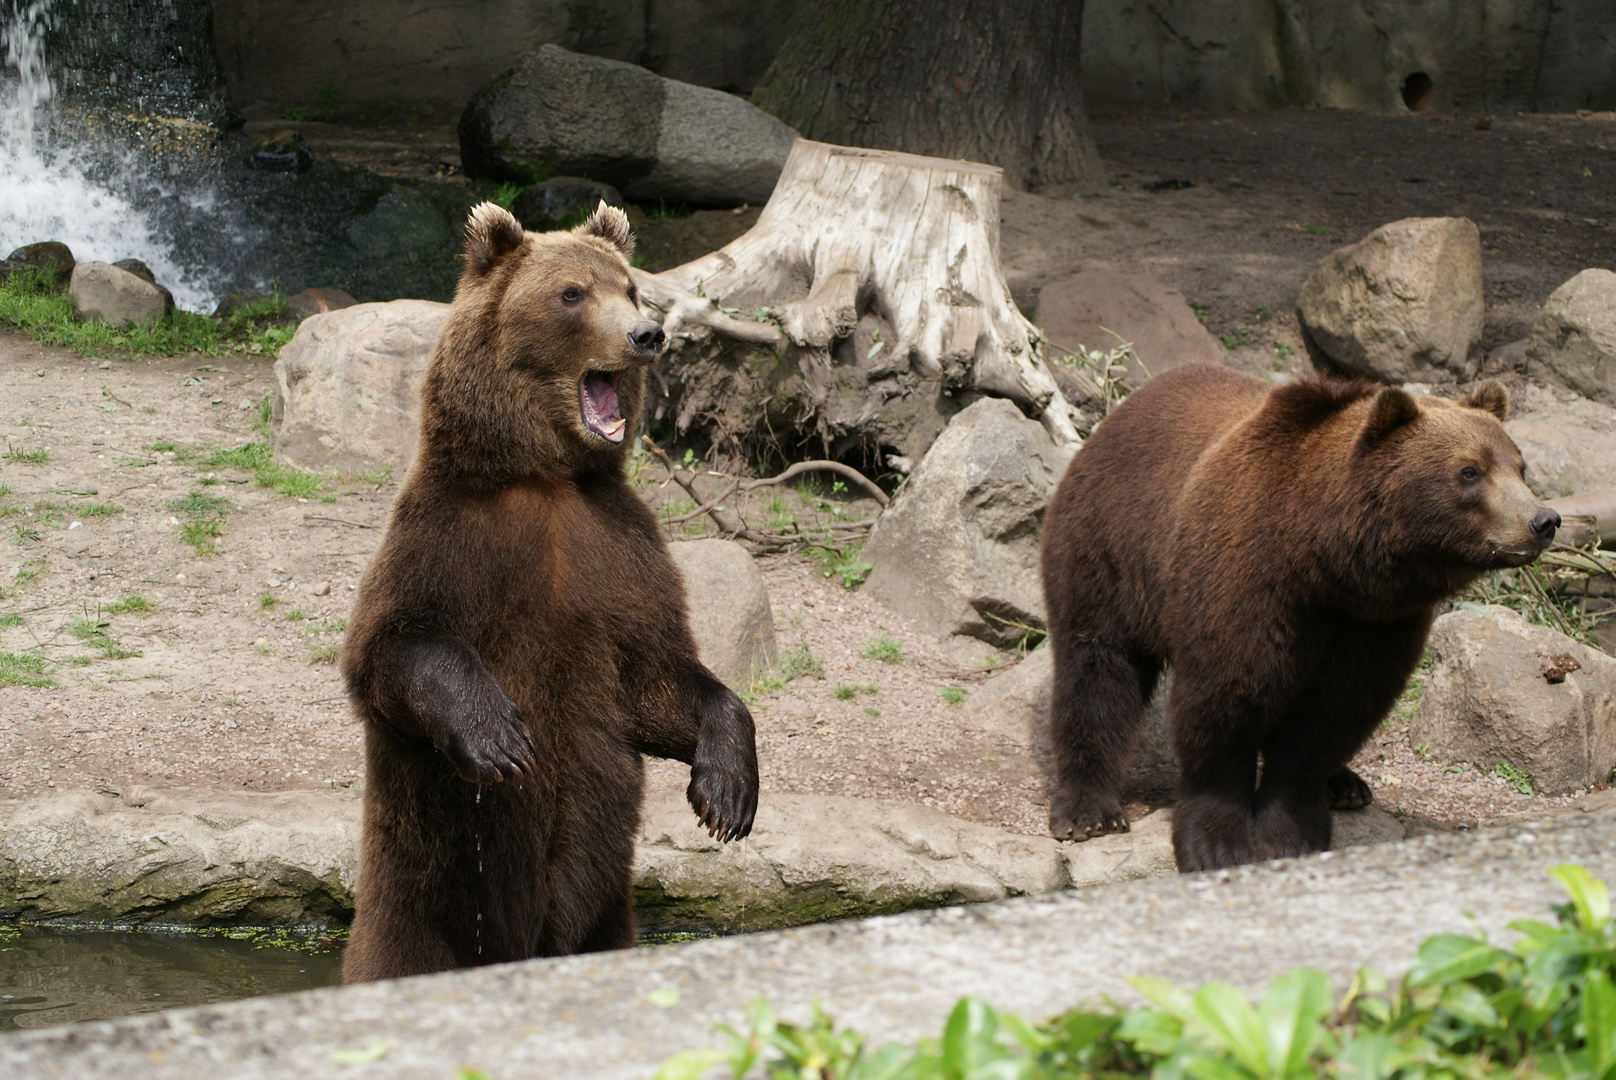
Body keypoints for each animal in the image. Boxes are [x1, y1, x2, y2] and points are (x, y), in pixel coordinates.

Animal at [340, 198, 756, 982]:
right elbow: (391, 649)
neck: (547, 477)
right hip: (421, 913)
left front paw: (727, 791)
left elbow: (659, 676)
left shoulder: (618, 550)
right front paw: (499, 736)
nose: (646, 335)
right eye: (571, 294)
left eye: (631, 288)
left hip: (608, 920)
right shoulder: (452, 537)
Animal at [1040, 367, 1557, 873]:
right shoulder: (1247, 578)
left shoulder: (1376, 623)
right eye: (1469, 471)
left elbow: (1333, 715)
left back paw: (1346, 785)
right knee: (1098, 668)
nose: (1543, 520)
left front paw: (1290, 833)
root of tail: (1120, 413)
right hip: (1111, 546)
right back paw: (1089, 810)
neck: (1325, 561)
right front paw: (1215, 845)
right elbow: (1224, 701)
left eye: (1519, 466)